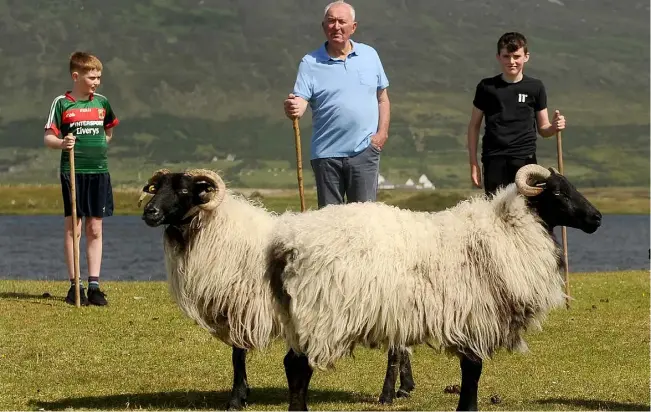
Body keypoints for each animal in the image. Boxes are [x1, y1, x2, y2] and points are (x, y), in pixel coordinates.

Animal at [139, 167, 418, 408]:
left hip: (390, 300)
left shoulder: (243, 305)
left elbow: (237, 355)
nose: (149, 212)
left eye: (184, 190)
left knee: (395, 351)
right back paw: (405, 387)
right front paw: (242, 395)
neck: (225, 234)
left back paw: (387, 395)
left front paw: (236, 399)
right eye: (156, 188)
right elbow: (238, 355)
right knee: (402, 346)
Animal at [268, 165, 604, 412]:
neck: (506, 230)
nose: (598, 218)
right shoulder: (475, 316)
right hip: (322, 312)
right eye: (558, 192)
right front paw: (467, 408)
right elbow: (473, 371)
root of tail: (289, 241)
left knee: (293, 364)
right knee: (298, 366)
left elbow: (470, 371)